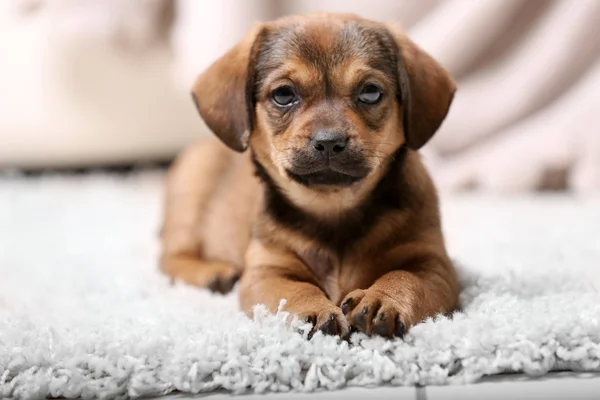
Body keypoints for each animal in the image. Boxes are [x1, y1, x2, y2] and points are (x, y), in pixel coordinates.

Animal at [159, 13, 460, 338]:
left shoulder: (434, 264)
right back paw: (210, 273)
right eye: (283, 95)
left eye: (370, 92)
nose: (329, 142)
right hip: (192, 184)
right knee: (171, 256)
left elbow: (405, 277)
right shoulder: (266, 272)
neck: (333, 209)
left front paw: (383, 297)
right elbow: (295, 290)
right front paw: (312, 309)